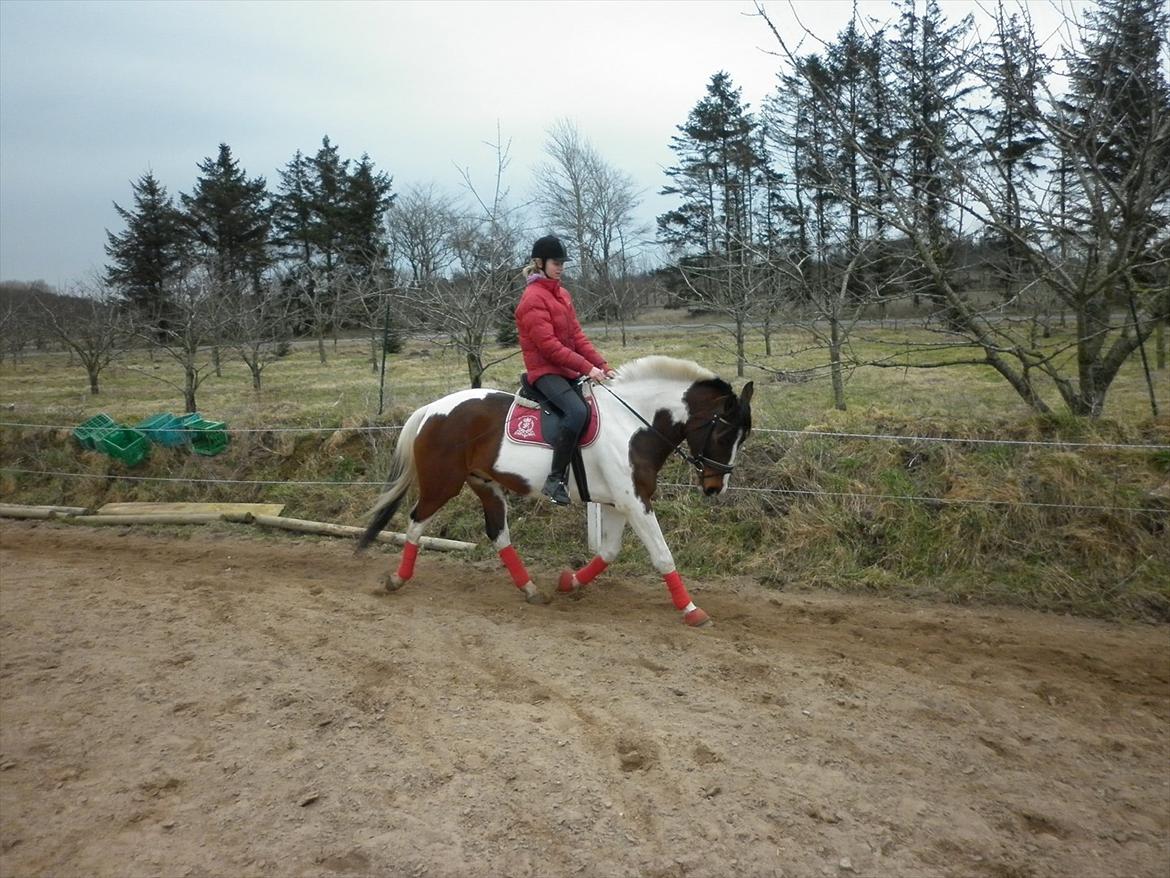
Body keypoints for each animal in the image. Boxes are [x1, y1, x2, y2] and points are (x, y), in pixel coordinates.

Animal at [355, 353, 753, 627]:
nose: (715, 487)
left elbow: (609, 552)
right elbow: (662, 555)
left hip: (486, 485)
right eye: (723, 435)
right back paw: (397, 579)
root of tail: (432, 409)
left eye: (743, 437)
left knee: (498, 533)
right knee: (416, 522)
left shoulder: (617, 503)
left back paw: (531, 589)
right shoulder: (634, 502)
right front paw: (691, 609)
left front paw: (569, 582)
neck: (633, 424)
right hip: (442, 484)